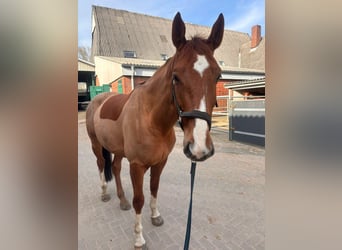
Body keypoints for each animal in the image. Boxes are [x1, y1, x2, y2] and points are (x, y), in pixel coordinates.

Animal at [85, 12, 224, 250]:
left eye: (218, 76)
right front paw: (139, 238)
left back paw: (122, 200)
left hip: (118, 150)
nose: (199, 148)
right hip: (96, 144)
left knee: (115, 167)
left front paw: (155, 216)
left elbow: (154, 189)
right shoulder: (137, 166)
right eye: (176, 77)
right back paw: (105, 193)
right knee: (102, 165)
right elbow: (139, 199)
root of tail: (98, 99)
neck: (152, 120)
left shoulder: (160, 163)